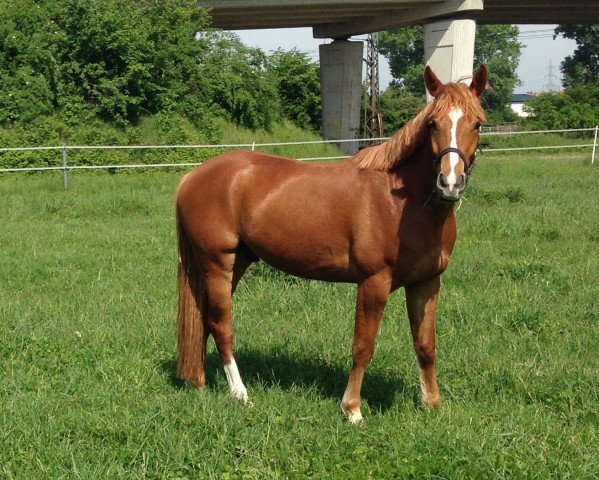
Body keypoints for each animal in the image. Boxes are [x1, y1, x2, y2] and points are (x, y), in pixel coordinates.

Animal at [173, 64, 488, 424]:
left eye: (477, 123)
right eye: (434, 123)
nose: (450, 183)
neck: (400, 202)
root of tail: (192, 177)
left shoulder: (427, 283)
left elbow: (425, 345)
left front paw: (432, 404)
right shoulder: (373, 283)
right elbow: (363, 346)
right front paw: (352, 410)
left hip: (237, 262)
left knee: (205, 321)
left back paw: (200, 382)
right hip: (217, 262)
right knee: (221, 324)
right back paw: (240, 394)